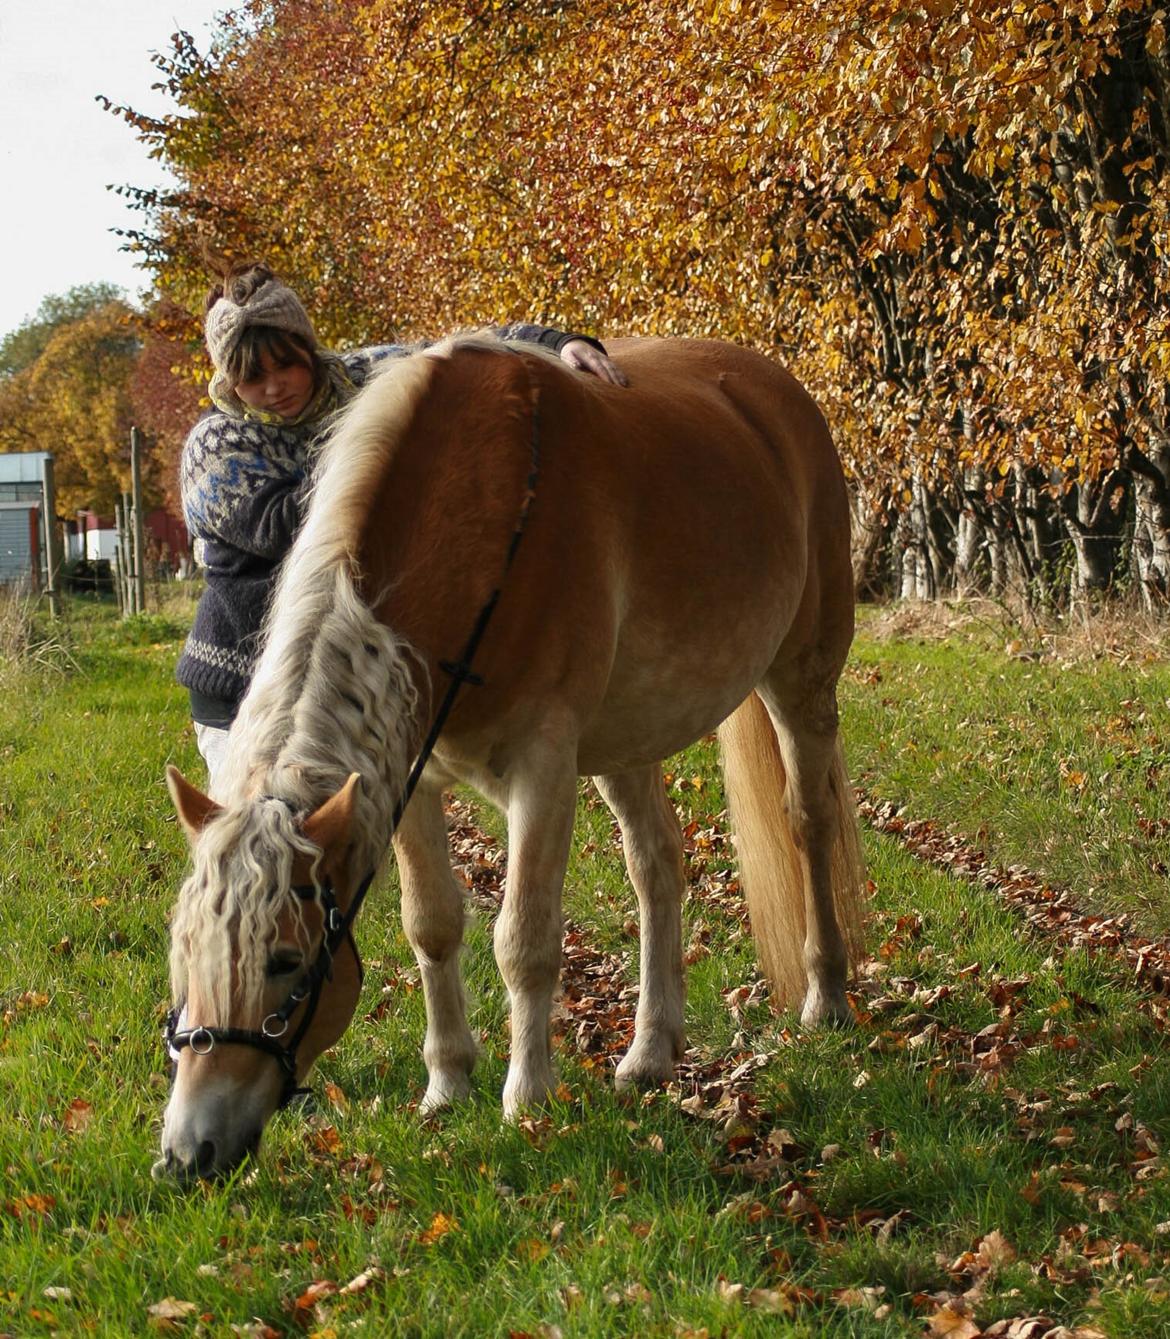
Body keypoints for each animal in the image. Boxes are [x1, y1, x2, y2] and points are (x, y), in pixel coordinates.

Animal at [152, 334, 867, 1183]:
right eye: (182, 951)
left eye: (286, 960)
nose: (187, 1152)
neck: (488, 528)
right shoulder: (410, 779)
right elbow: (432, 924)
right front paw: (448, 1080)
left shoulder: (544, 768)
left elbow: (523, 938)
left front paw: (528, 1096)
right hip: (628, 736)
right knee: (658, 861)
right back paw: (651, 1048)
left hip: (800, 679)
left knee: (809, 823)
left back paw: (827, 993)